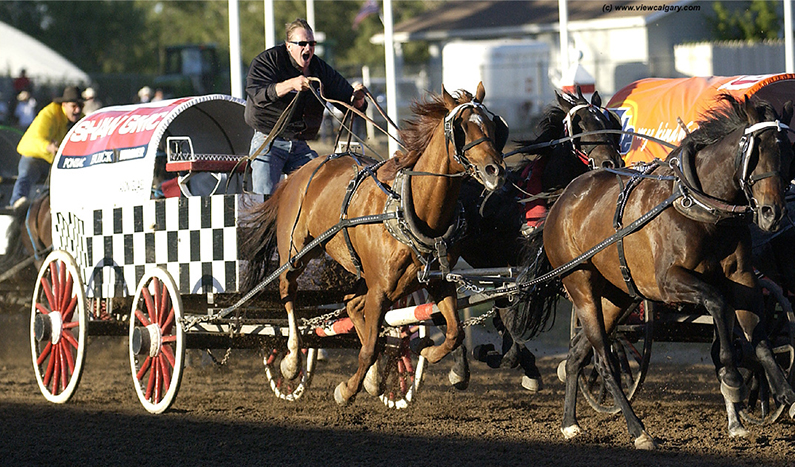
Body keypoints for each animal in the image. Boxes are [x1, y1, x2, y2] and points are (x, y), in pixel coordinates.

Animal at [239, 83, 506, 406]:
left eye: (493, 125)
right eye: (461, 127)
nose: (495, 170)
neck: (408, 209)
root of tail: (300, 173)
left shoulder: (437, 281)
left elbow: (453, 332)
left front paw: (433, 356)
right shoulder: (380, 288)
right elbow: (368, 349)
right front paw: (346, 389)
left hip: (367, 277)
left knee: (353, 305)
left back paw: (374, 376)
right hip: (295, 254)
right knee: (288, 294)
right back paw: (292, 360)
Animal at [536, 95, 795, 450]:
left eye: (788, 152)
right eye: (756, 152)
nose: (773, 213)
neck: (701, 207)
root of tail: (562, 201)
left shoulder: (743, 278)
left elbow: (758, 335)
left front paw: (782, 392)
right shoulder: (667, 282)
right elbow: (718, 302)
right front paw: (731, 378)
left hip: (617, 296)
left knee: (577, 355)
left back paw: (569, 424)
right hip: (581, 286)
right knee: (604, 360)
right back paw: (638, 430)